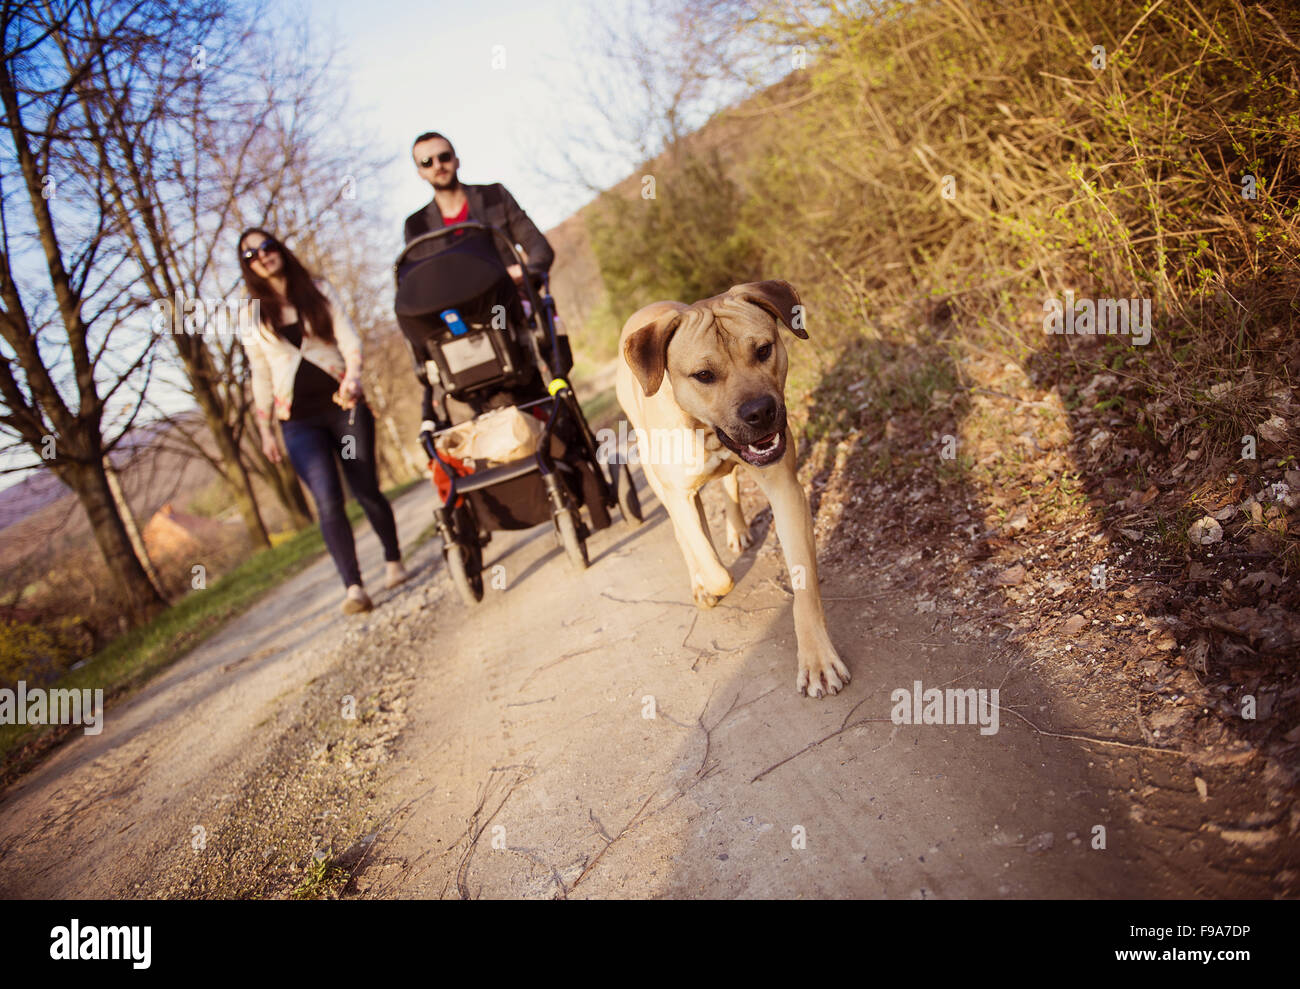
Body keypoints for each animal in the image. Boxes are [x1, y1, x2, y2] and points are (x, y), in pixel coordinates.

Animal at [618, 278, 852, 696]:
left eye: (763, 350)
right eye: (703, 375)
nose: (760, 411)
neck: (709, 433)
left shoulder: (785, 490)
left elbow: (804, 585)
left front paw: (817, 659)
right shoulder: (678, 494)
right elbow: (715, 568)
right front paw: (708, 582)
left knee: (729, 485)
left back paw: (737, 529)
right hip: (654, 472)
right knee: (685, 530)